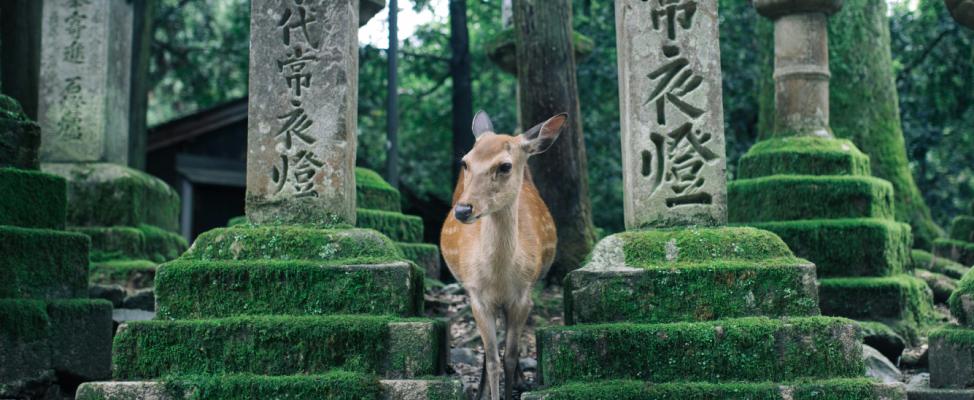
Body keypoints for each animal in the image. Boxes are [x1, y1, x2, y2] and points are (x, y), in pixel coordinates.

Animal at [440, 110, 565, 400]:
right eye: (465, 162)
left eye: (505, 166)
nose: (462, 210)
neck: (498, 277)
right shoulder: (477, 296)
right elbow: (493, 359)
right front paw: (488, 393)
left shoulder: (523, 296)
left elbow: (509, 356)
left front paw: (512, 388)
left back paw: (520, 380)